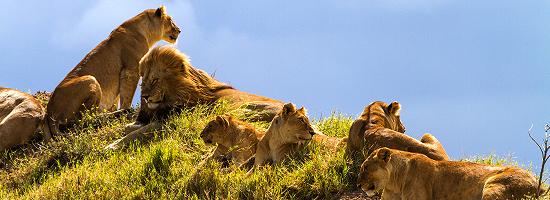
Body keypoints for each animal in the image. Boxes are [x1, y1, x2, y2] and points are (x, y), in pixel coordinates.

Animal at [46, 6, 181, 138]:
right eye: (171, 20)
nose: (179, 30)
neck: (146, 32)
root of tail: (49, 113)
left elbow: (116, 99)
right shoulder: (130, 69)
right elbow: (127, 95)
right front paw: (126, 109)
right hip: (90, 79)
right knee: (83, 120)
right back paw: (117, 114)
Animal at [106, 45, 284, 148]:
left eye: (155, 79)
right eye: (143, 79)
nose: (144, 96)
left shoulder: (170, 121)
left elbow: (137, 133)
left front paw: (112, 146)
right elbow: (132, 127)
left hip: (244, 109)